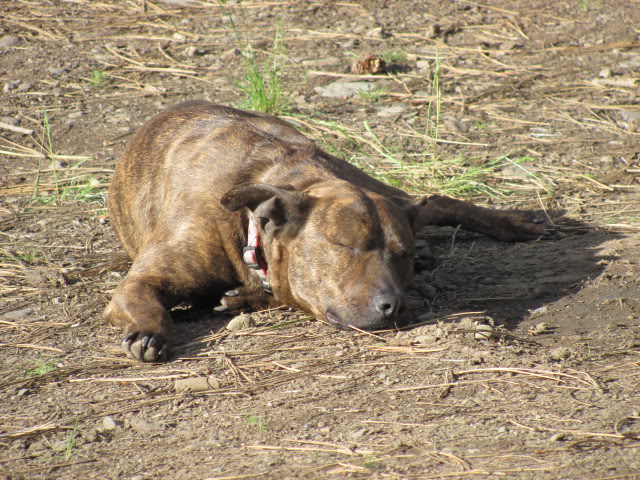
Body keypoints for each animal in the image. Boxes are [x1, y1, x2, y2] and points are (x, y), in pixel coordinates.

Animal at [106, 101, 544, 360]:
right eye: (346, 246)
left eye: (401, 255)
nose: (395, 305)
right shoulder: (141, 281)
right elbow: (145, 301)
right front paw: (150, 331)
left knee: (433, 201)